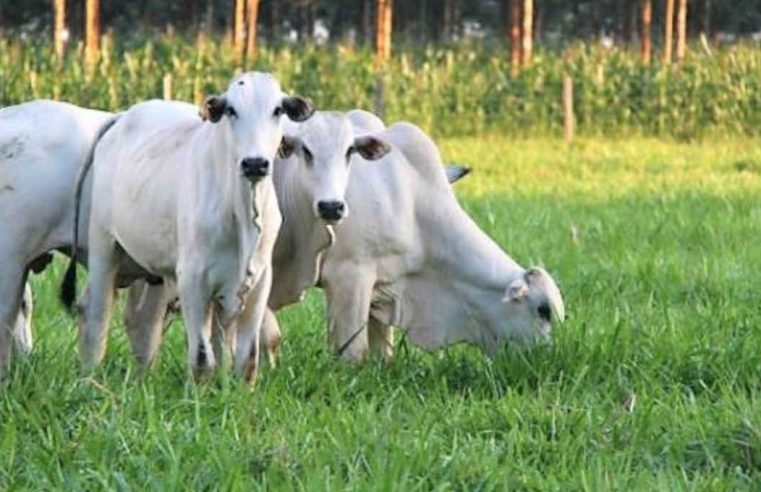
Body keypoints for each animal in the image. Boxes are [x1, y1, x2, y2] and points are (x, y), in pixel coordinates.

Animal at [60, 72, 314, 381]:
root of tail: (122, 116)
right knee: (97, 312)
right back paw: (89, 375)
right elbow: (203, 359)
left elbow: (246, 359)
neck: (242, 213)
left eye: (277, 110)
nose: (255, 164)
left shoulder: (259, 282)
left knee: (144, 322)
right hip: (104, 246)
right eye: (231, 110)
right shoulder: (193, 278)